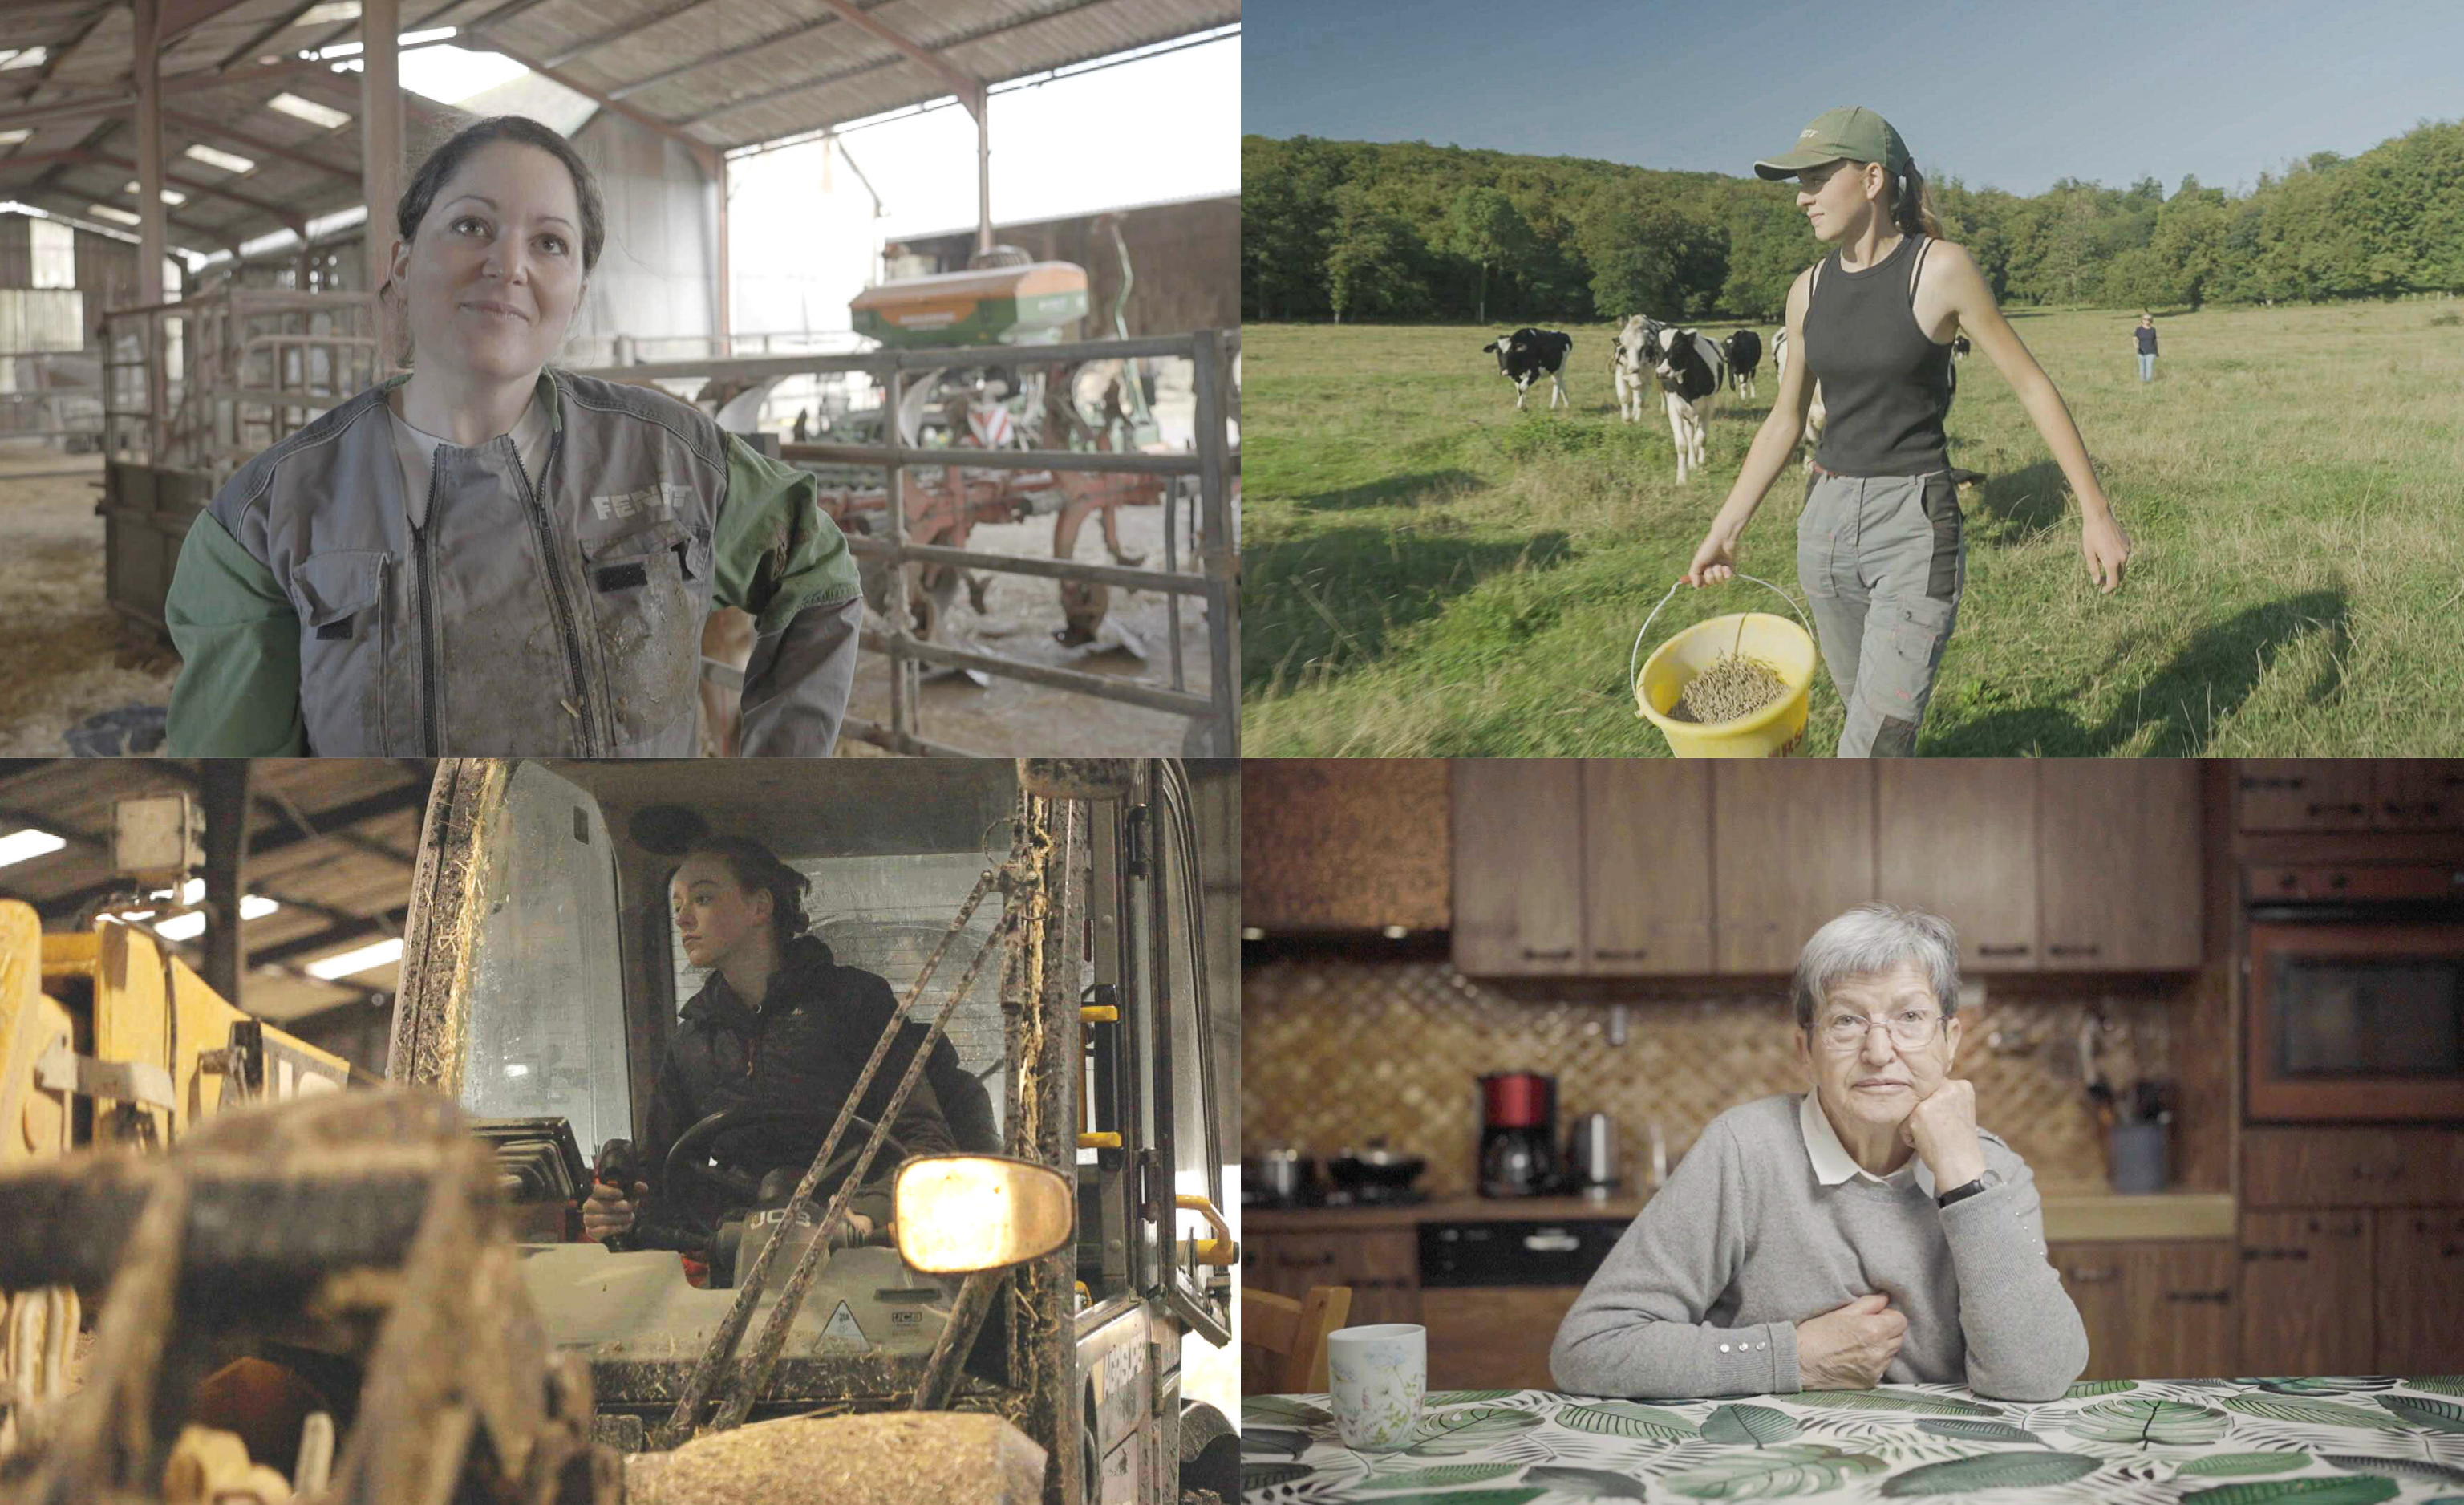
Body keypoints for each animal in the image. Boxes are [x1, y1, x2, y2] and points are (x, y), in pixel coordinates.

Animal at [1646, 327, 1724, 482]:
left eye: (1679, 348)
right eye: (1656, 349)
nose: (1662, 373)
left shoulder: (1708, 407)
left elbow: (1700, 440)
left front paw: (1701, 467)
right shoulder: (1673, 408)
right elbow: (1683, 444)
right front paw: (1682, 478)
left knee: (1697, 437)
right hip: (1686, 414)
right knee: (1689, 435)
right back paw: (1692, 463)